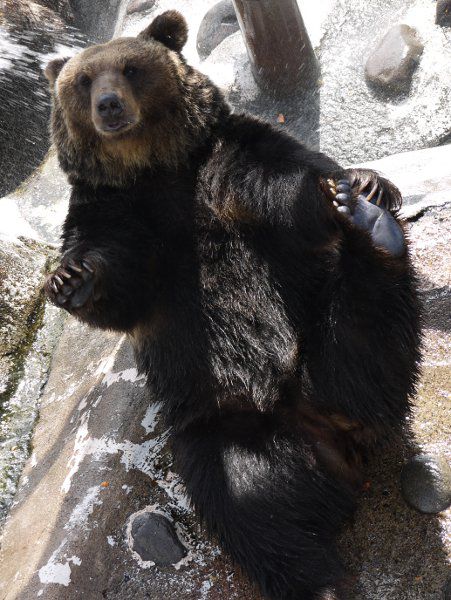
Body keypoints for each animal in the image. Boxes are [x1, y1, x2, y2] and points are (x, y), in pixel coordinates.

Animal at [44, 10, 422, 600]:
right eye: (82, 81)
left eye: (130, 68)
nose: (108, 106)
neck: (154, 168)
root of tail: (332, 434)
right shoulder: (110, 209)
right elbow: (114, 280)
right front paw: (69, 280)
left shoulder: (227, 157)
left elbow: (286, 183)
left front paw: (358, 183)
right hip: (223, 423)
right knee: (252, 504)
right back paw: (315, 577)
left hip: (321, 340)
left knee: (367, 328)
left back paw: (372, 224)